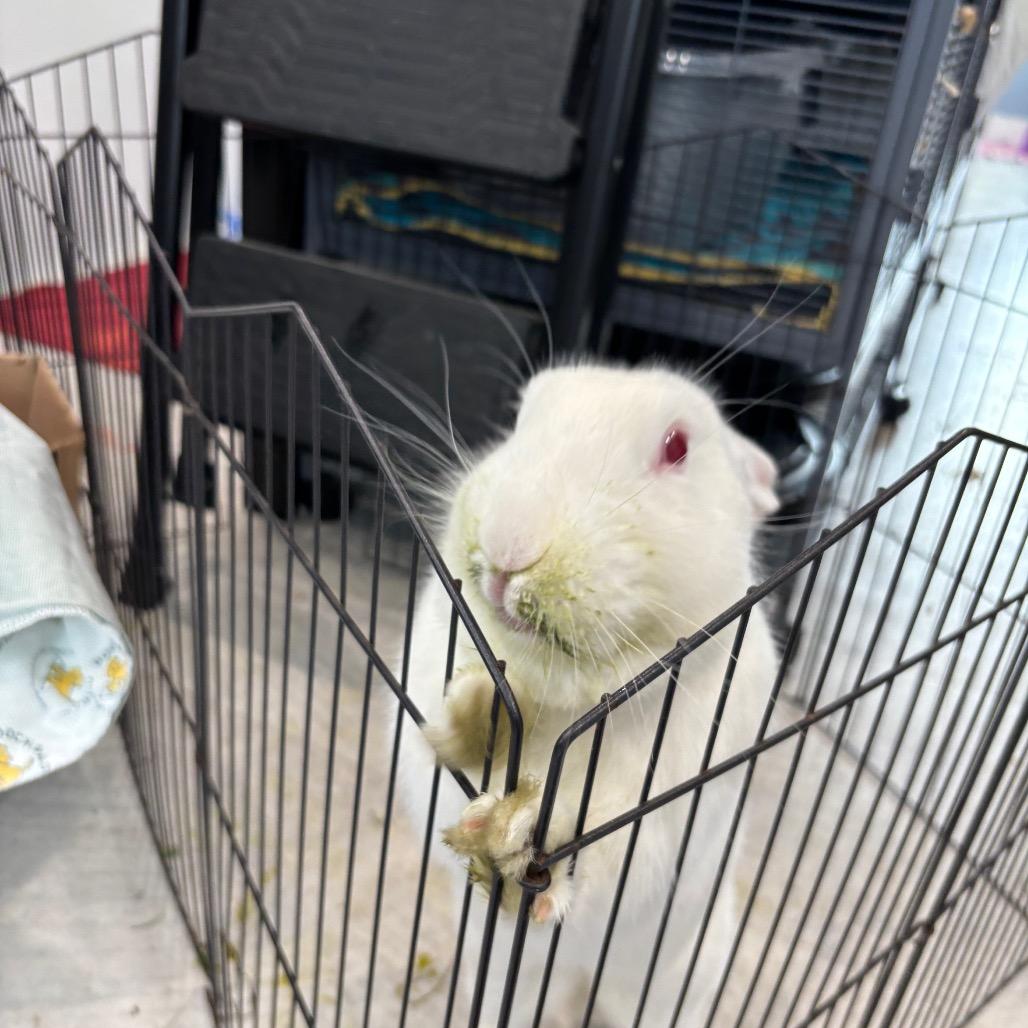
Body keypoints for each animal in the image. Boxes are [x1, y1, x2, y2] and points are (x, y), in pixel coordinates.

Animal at [395, 362, 779, 1027]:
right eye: (520, 418)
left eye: (677, 447)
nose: (510, 545)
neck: (563, 704)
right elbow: (445, 754)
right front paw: (478, 712)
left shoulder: (659, 832)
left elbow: (594, 859)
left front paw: (521, 835)